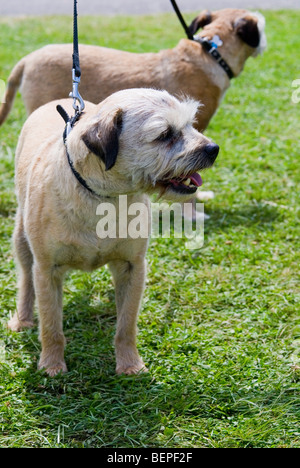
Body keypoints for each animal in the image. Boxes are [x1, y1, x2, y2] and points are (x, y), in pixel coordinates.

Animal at [7, 88, 218, 376]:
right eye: (165, 134)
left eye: (190, 125)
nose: (213, 149)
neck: (105, 196)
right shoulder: (47, 269)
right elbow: (51, 325)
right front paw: (52, 364)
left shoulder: (132, 267)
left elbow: (126, 324)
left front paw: (130, 364)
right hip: (22, 241)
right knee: (27, 280)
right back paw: (23, 319)